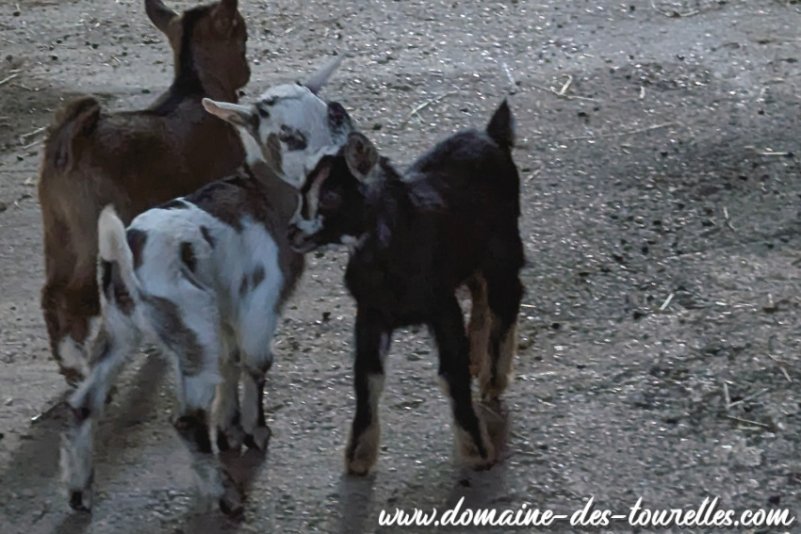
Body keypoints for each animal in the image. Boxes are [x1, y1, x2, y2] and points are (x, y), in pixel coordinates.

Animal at [38, 0, 250, 386]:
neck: (195, 86)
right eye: (242, 36)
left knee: (52, 292)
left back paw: (69, 365)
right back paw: (79, 366)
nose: (246, 72)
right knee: (75, 295)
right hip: (87, 227)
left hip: (57, 227)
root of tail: (71, 141)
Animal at [60, 70, 354, 516]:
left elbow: (231, 363)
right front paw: (255, 431)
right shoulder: (259, 306)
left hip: (120, 329)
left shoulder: (230, 304)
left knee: (83, 404)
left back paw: (79, 492)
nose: (338, 114)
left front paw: (230, 430)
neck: (265, 195)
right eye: (288, 134)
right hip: (192, 326)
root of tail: (126, 255)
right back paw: (226, 496)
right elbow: (256, 365)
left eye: (317, 101)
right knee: (186, 420)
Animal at [287, 100, 524, 475]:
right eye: (303, 189)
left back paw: (492, 377)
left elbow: (451, 374)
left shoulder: (441, 307)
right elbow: (367, 378)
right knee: (479, 289)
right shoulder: (371, 313)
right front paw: (359, 455)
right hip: (470, 252)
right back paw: (477, 354)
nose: (292, 233)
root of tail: (492, 135)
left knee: (507, 297)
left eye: (332, 196)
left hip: (503, 247)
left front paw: (477, 450)